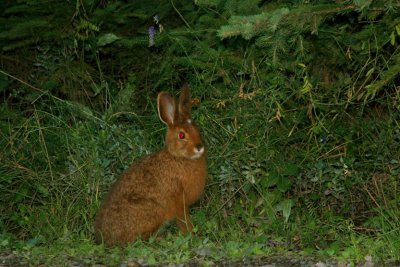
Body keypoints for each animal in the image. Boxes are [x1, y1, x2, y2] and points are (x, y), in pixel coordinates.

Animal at [94, 86, 206, 247]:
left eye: (198, 129)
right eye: (181, 135)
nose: (199, 147)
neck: (178, 158)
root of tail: (103, 239)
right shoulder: (179, 200)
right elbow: (183, 221)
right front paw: (191, 234)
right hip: (152, 211)